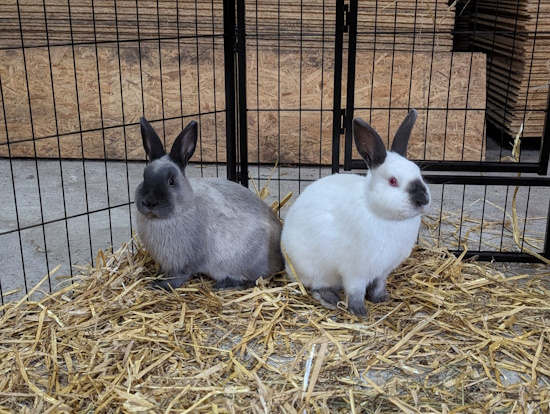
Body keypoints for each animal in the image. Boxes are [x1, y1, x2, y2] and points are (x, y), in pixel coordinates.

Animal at [135, 118, 284, 290]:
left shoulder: (184, 262)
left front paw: (159, 285)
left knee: (257, 279)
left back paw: (225, 284)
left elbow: (178, 277)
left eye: (171, 181)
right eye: (144, 176)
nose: (149, 202)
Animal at [282, 110, 434, 316]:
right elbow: (356, 291)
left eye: (418, 172)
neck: (380, 213)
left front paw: (382, 298)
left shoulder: (383, 270)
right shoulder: (356, 271)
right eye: (393, 181)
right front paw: (359, 311)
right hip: (314, 269)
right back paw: (330, 299)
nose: (422, 199)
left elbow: (378, 285)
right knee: (315, 286)